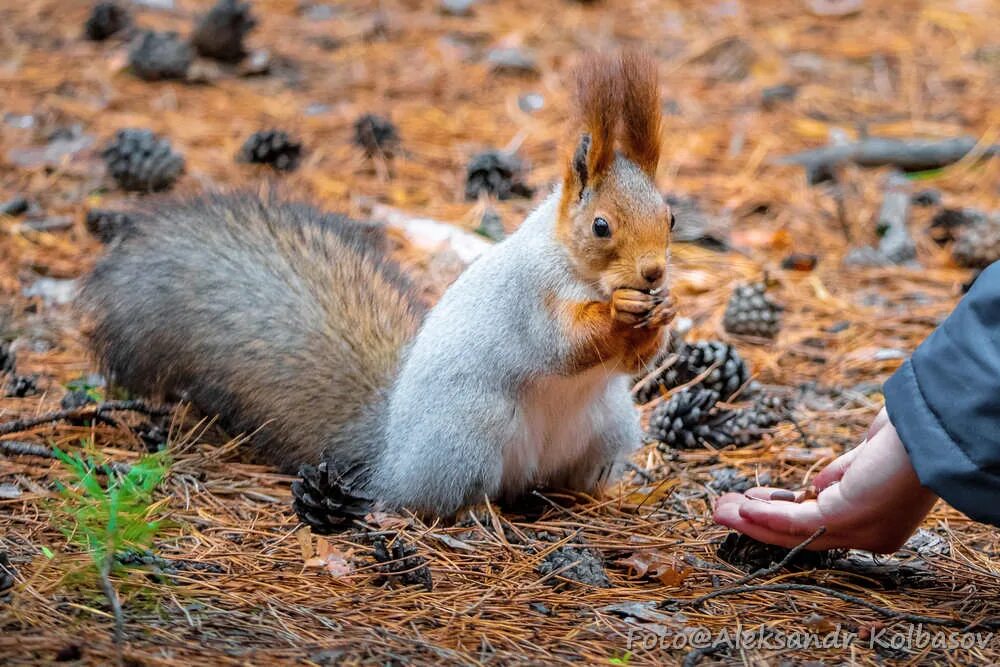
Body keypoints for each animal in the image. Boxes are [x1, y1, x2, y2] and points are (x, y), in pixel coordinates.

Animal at [78, 52, 672, 520]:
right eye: (601, 226)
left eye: (669, 217)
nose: (654, 274)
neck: (580, 270)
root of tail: (390, 458)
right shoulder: (529, 297)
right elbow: (560, 344)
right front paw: (619, 314)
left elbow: (631, 363)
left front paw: (662, 317)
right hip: (469, 432)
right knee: (440, 500)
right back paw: (478, 515)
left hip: (610, 428)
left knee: (567, 479)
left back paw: (593, 499)